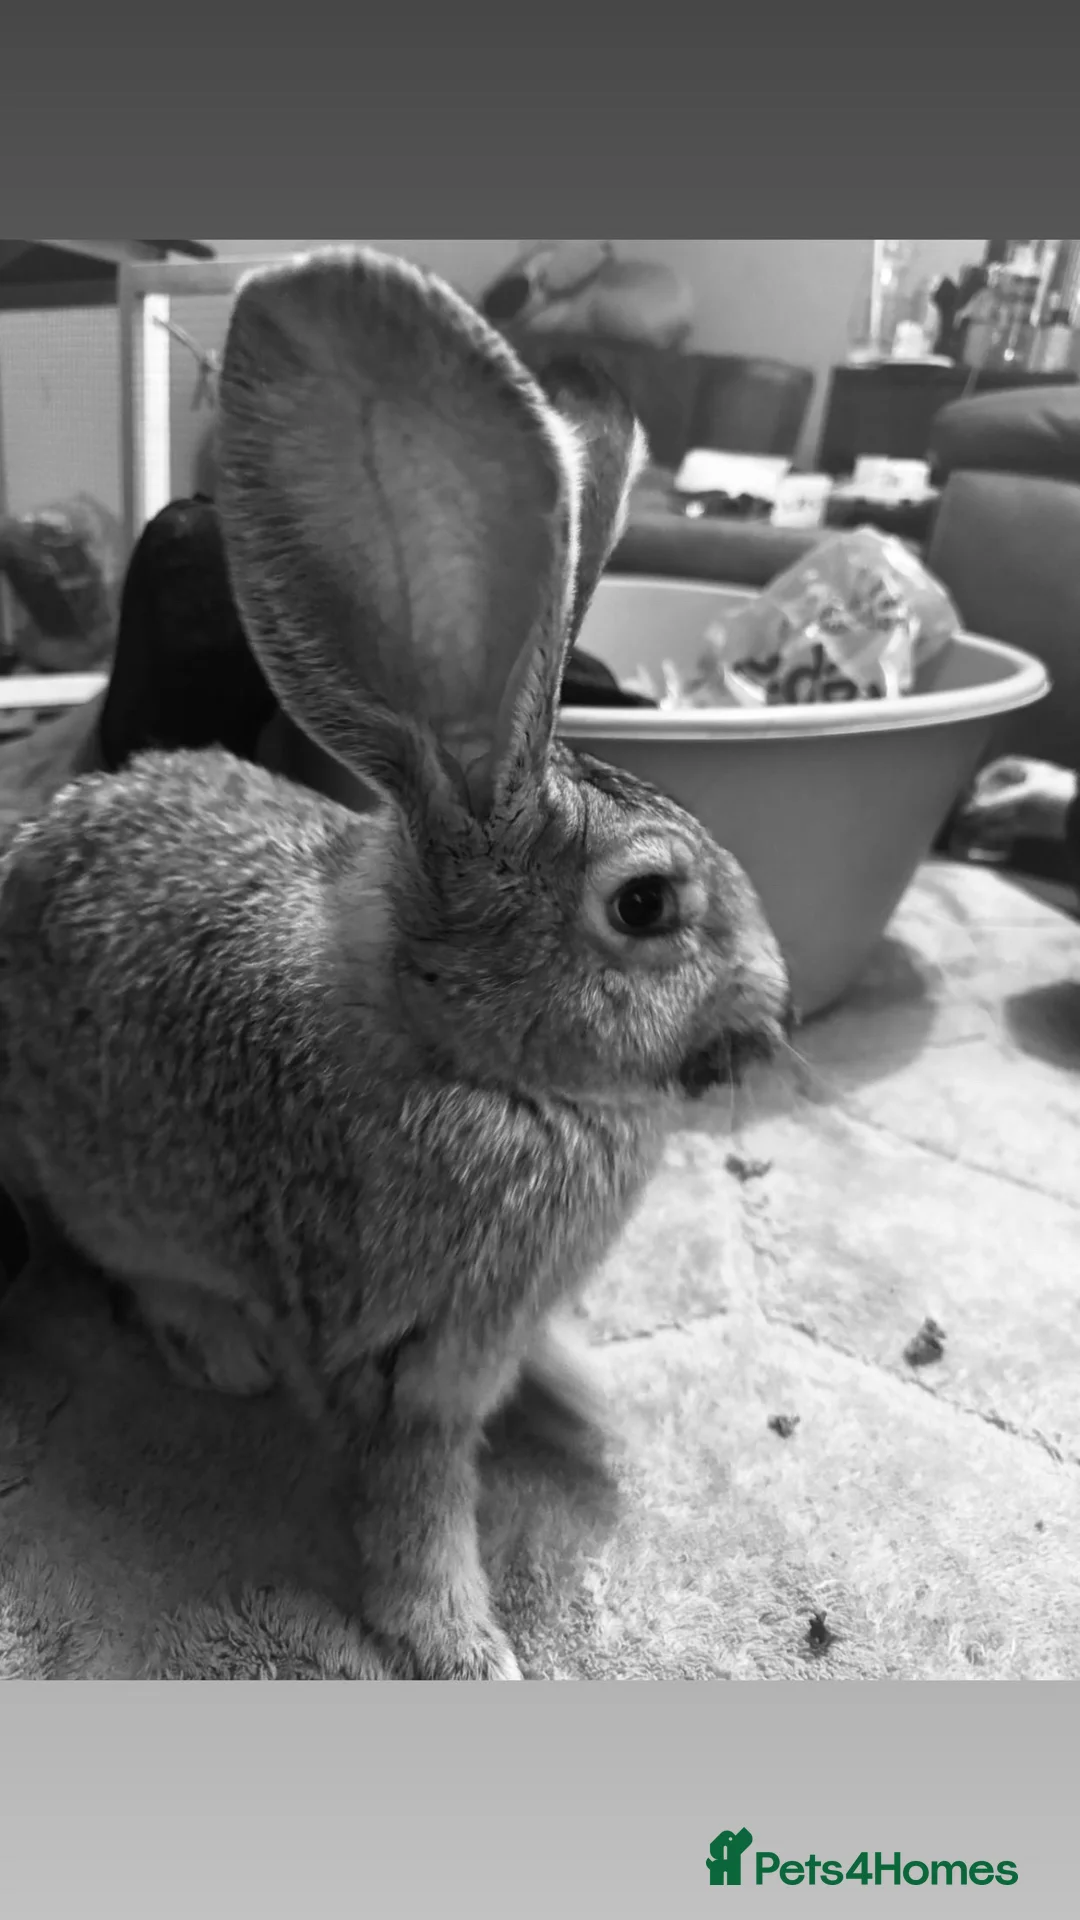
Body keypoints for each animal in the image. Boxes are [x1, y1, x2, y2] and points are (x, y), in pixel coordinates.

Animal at [0, 247, 791, 1680]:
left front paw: (593, 1408)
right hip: (86, 1175)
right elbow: (415, 1501)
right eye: (646, 905)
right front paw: (460, 1647)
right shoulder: (406, 1351)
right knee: (127, 1265)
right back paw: (219, 1349)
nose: (772, 1013)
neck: (463, 1051)